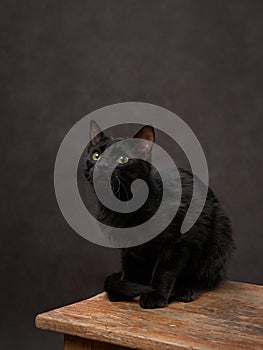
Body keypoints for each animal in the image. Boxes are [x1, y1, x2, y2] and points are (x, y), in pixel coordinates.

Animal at [84, 121, 235, 308]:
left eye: (123, 159)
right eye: (96, 155)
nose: (103, 165)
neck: (124, 205)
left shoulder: (178, 242)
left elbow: (164, 270)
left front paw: (155, 296)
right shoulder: (128, 248)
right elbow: (129, 267)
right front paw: (124, 288)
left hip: (218, 239)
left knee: (209, 277)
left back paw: (187, 289)